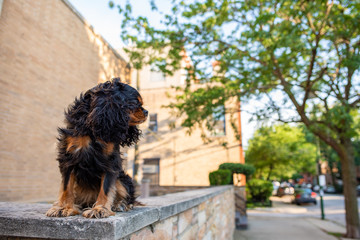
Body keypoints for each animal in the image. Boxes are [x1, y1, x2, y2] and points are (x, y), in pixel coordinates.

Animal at [46, 78, 148, 218]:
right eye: (135, 103)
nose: (146, 112)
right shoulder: (69, 157)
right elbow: (66, 187)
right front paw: (64, 208)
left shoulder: (110, 161)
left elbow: (106, 188)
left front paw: (100, 209)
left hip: (123, 179)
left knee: (127, 196)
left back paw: (120, 204)